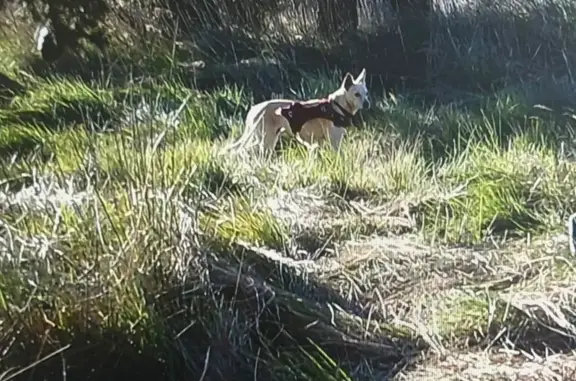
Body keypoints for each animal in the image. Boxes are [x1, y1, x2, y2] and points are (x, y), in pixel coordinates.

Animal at [225, 69, 368, 155]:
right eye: (356, 94)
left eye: (366, 93)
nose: (367, 103)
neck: (338, 105)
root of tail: (256, 109)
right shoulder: (335, 142)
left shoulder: (318, 144)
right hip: (266, 141)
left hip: (261, 139)